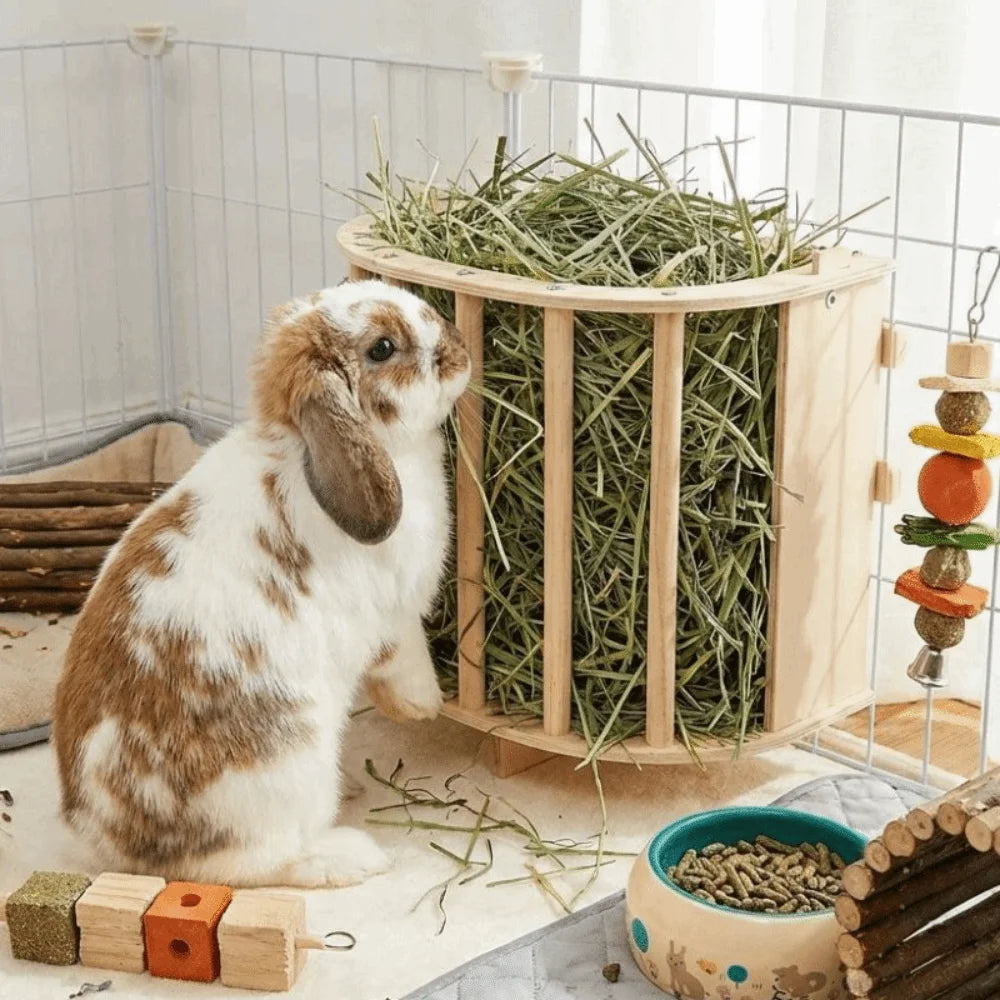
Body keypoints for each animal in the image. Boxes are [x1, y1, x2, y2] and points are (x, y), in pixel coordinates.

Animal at [52, 280, 471, 888]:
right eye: (383, 348)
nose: (460, 349)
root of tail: (114, 845)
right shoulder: (396, 615)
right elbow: (406, 659)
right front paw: (424, 706)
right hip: (291, 764)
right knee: (255, 863)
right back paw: (350, 857)